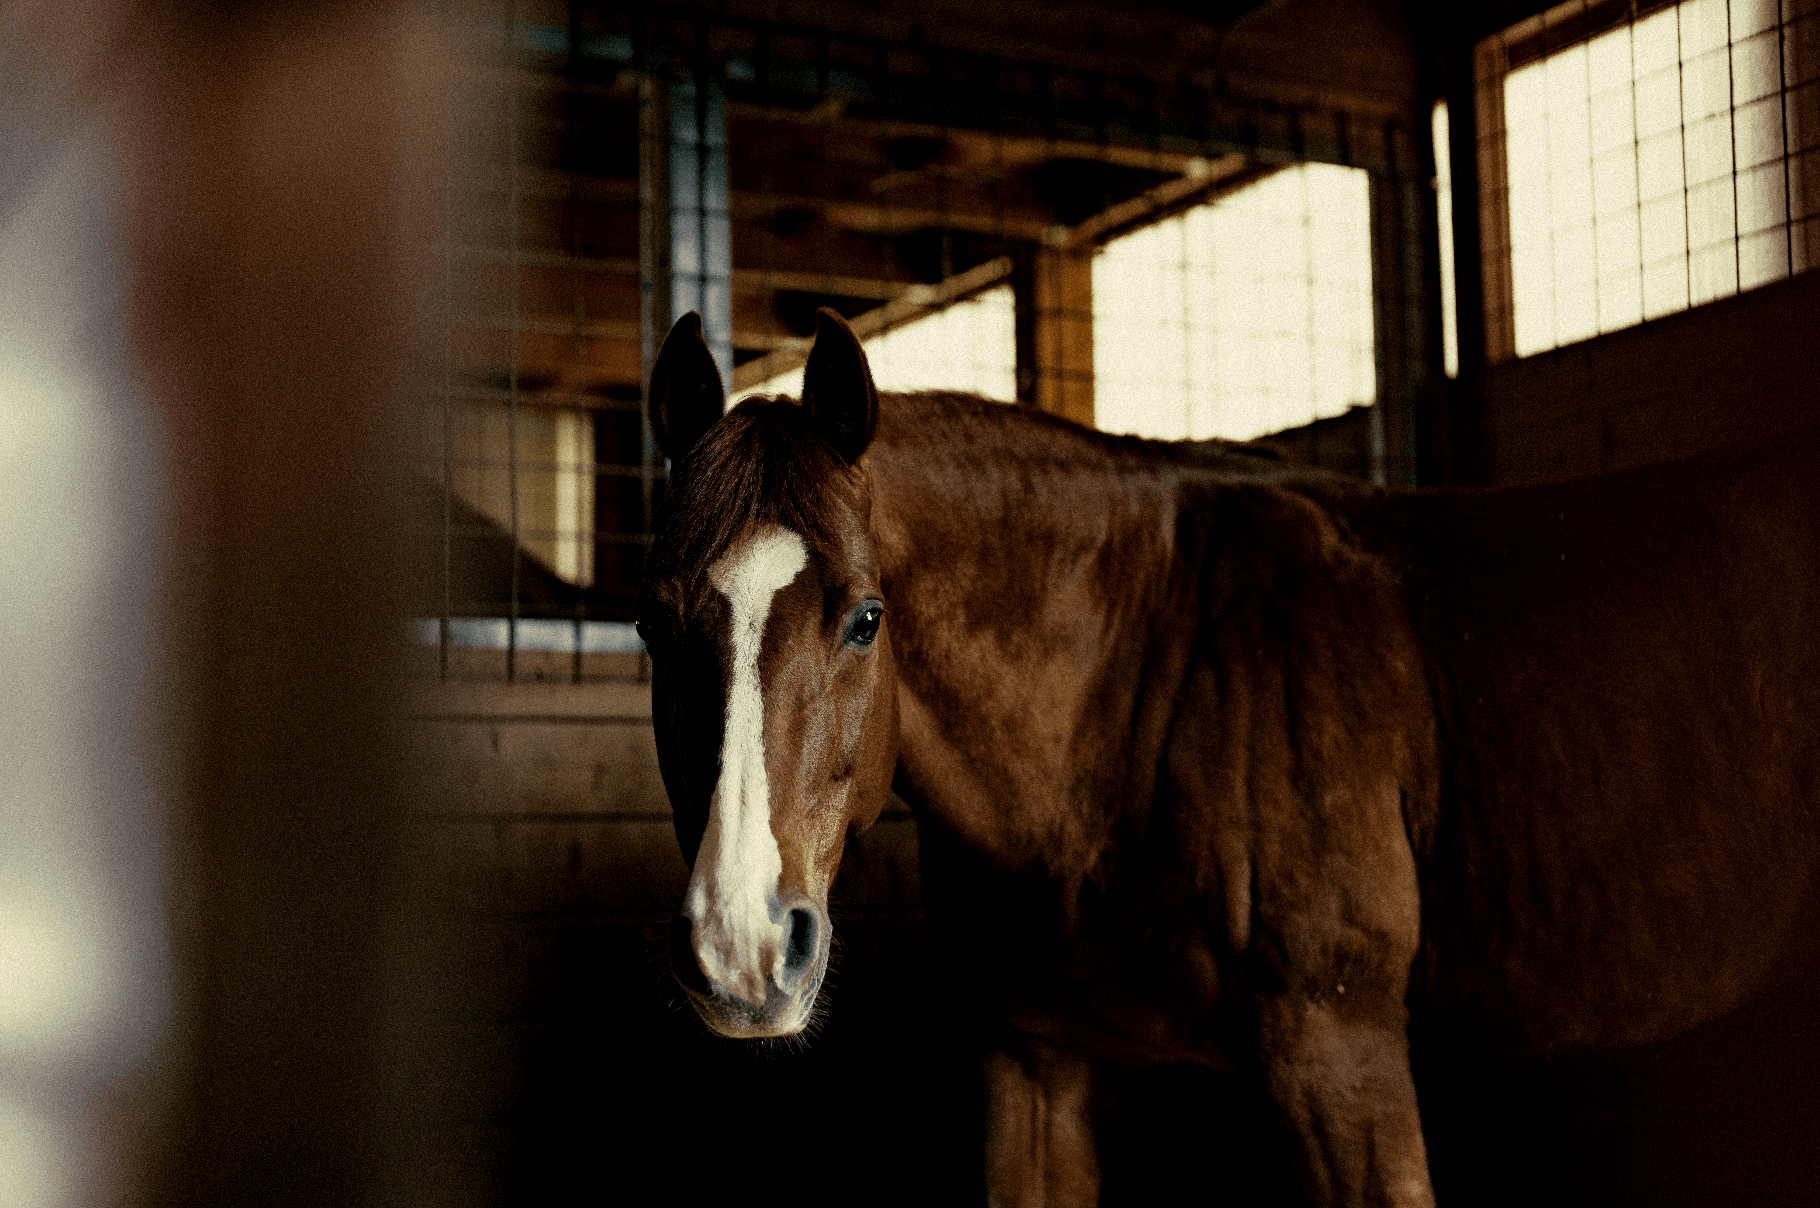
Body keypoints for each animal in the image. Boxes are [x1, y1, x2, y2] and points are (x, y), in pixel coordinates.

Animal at [633, 307, 1820, 1207]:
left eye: (866, 619)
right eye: (648, 623)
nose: (742, 950)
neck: (1131, 686)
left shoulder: (1338, 1055)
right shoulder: (1033, 1064)